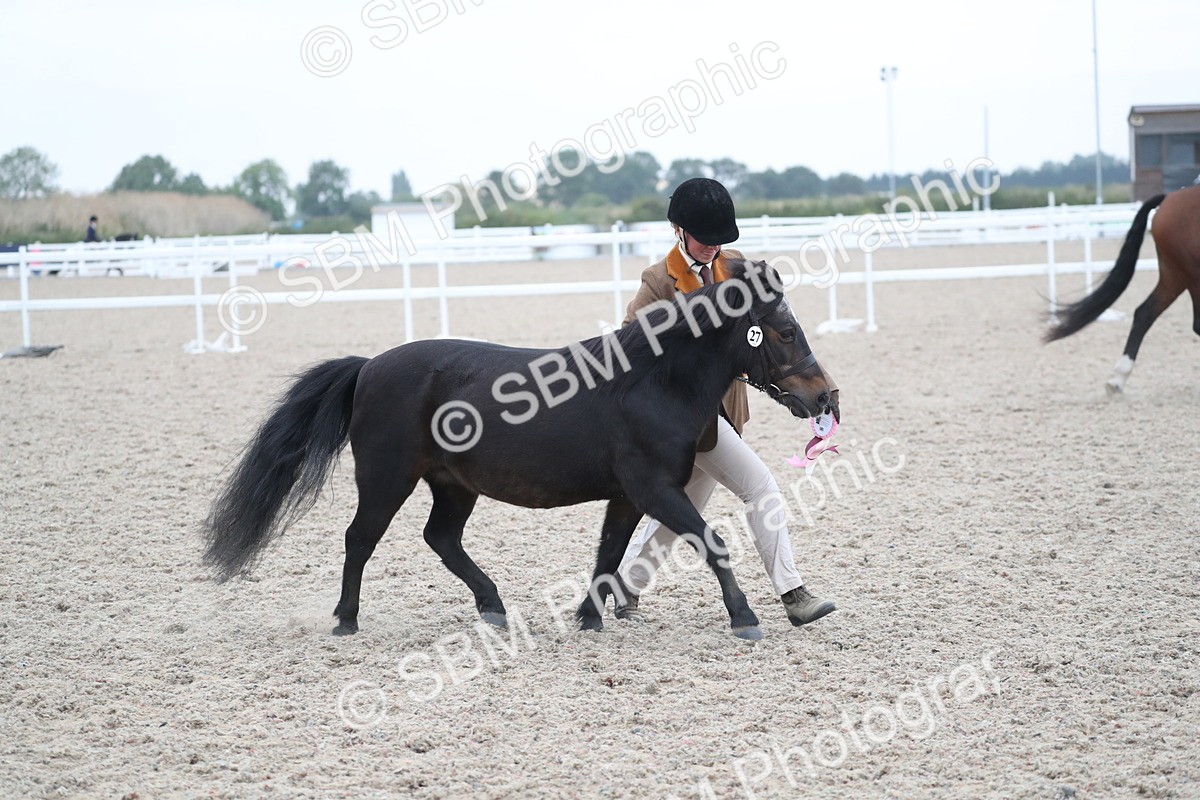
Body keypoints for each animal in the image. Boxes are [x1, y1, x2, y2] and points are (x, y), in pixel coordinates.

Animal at [202, 258, 838, 641]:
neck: (652, 381)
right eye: (785, 331)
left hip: (452, 485)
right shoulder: (654, 488)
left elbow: (609, 554)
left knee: (441, 538)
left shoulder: (629, 496)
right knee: (359, 540)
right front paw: (745, 617)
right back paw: (346, 621)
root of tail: (369, 367)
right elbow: (712, 543)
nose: (825, 395)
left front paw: (589, 618)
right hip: (387, 479)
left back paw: (493, 606)